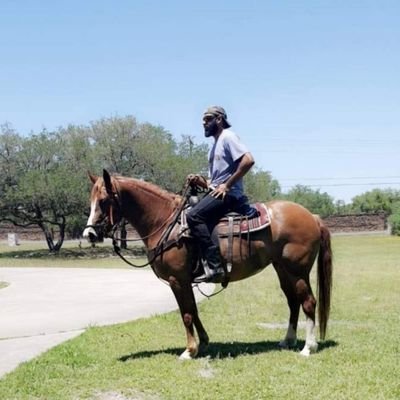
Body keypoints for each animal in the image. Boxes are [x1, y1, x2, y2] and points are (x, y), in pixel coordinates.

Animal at [83, 169, 332, 360]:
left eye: (104, 201)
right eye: (91, 201)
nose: (89, 234)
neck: (166, 222)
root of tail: (312, 216)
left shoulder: (177, 280)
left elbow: (186, 313)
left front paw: (189, 351)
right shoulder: (185, 281)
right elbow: (193, 310)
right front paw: (203, 343)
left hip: (298, 271)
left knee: (308, 302)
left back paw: (308, 347)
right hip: (282, 269)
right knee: (293, 302)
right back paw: (287, 340)